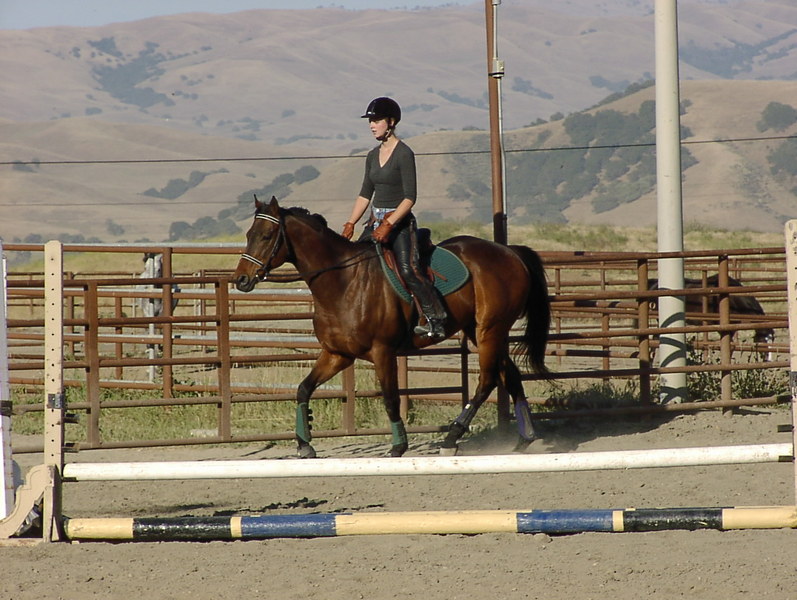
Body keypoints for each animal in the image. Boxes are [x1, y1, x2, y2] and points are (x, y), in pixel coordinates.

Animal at [233, 196, 551, 458]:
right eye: (248, 235)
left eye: (266, 235)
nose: (241, 280)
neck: (344, 282)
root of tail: (509, 252)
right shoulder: (337, 355)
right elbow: (303, 390)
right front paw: (304, 444)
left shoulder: (382, 352)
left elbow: (390, 399)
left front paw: (399, 446)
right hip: (481, 331)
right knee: (509, 374)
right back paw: (526, 439)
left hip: (490, 330)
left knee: (487, 380)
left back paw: (452, 437)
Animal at [647, 275, 775, 361]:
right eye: (763, 341)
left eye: (772, 341)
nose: (768, 361)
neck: (731, 299)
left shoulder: (732, 328)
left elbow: (731, 347)